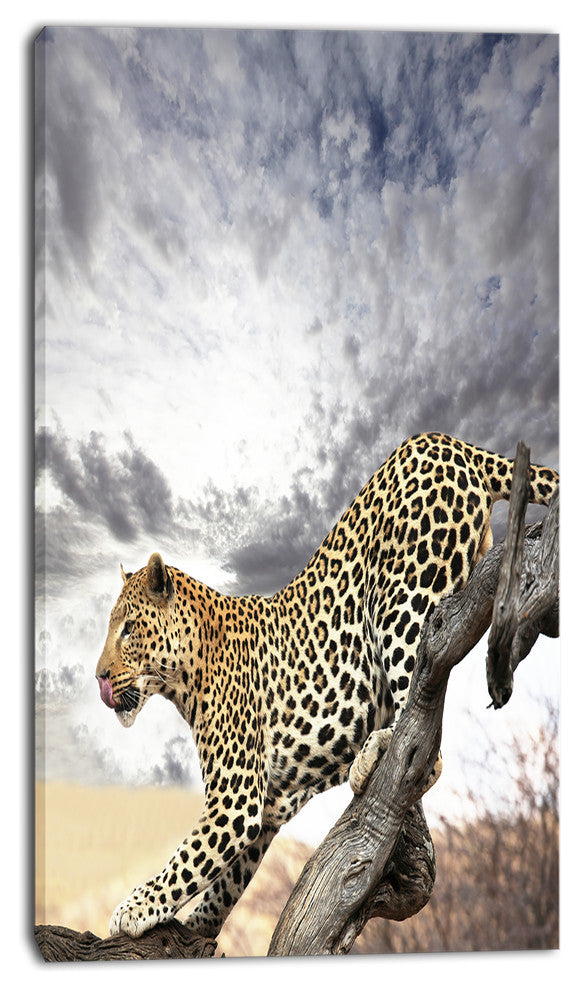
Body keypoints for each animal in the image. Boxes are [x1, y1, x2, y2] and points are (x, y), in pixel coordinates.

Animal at [96, 431, 558, 939]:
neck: (186, 674)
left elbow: (187, 860)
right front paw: (198, 928)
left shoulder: (235, 798)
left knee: (426, 732)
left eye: (128, 628)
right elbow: (224, 882)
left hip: (401, 598)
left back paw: (376, 750)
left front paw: (134, 908)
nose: (99, 676)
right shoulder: (268, 806)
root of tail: (447, 441)